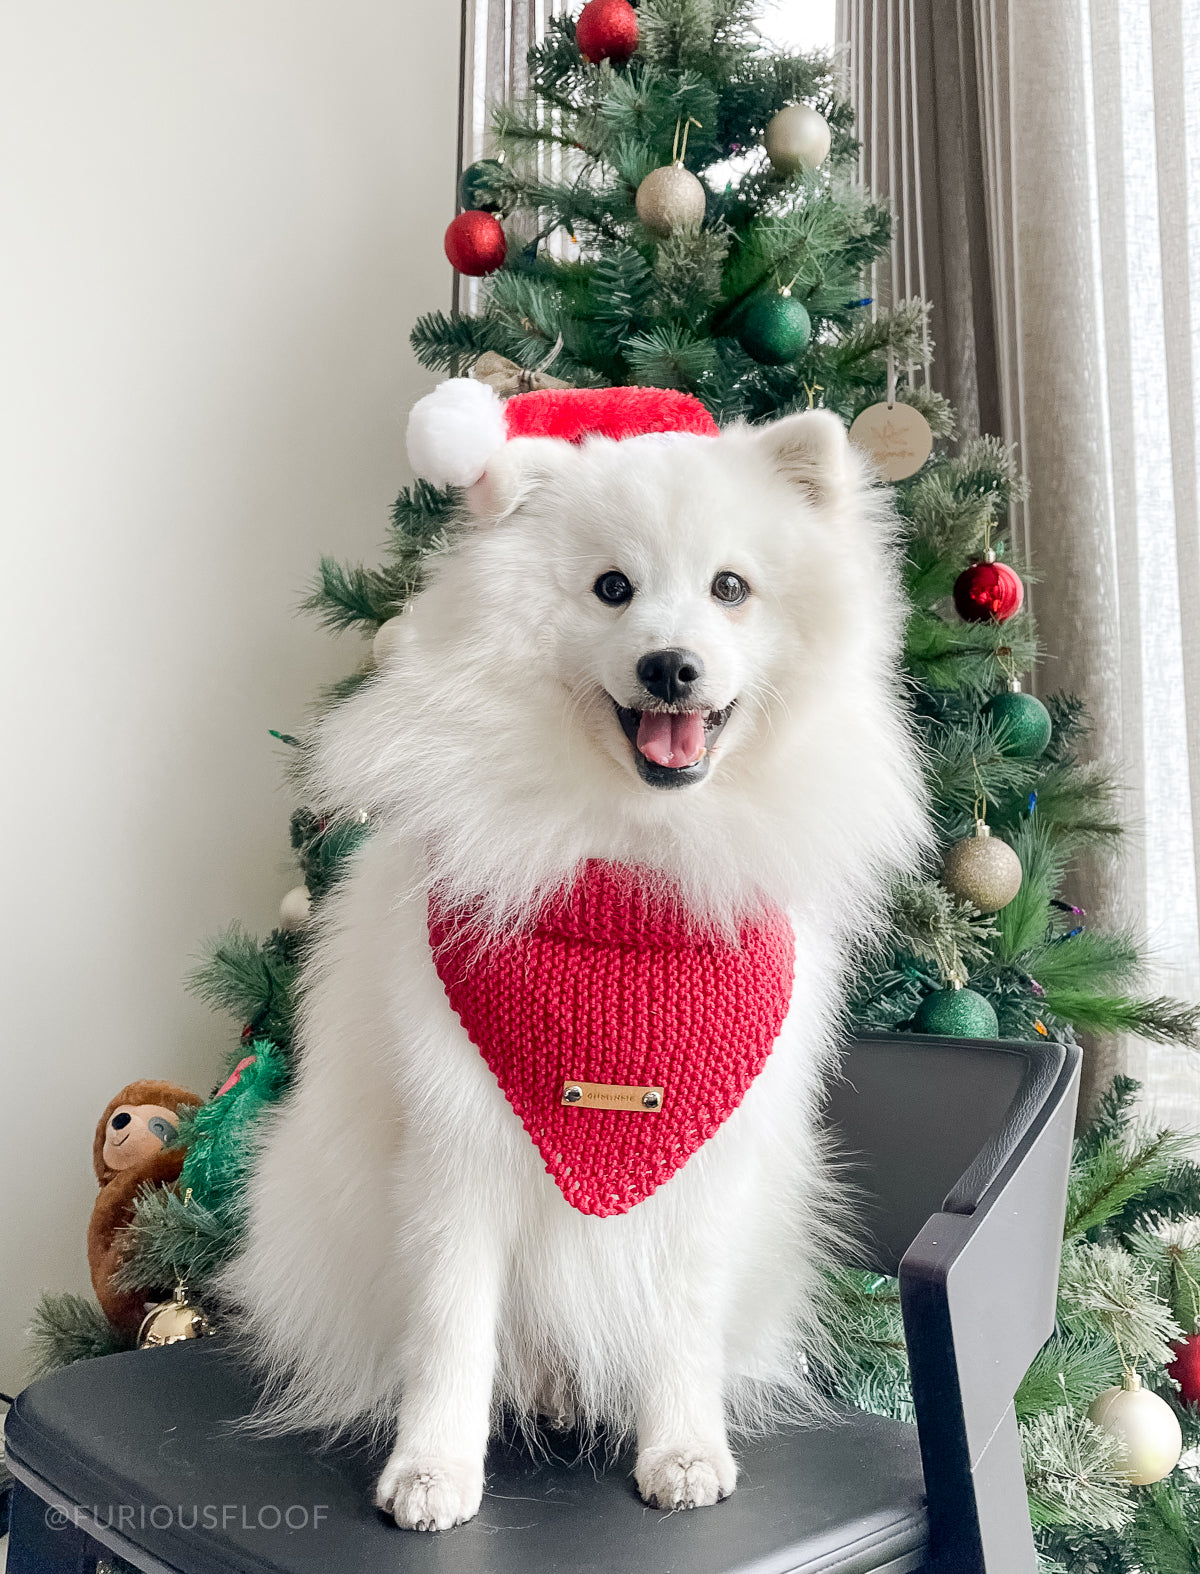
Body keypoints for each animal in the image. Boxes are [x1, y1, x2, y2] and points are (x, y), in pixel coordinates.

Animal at [222, 390, 925, 1523]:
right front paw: (432, 1468)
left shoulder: (700, 1157)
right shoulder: (455, 1146)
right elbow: (451, 1330)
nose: (670, 664)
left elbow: (681, 1317)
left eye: (731, 588)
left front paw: (682, 1448)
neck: (628, 882)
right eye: (612, 588)